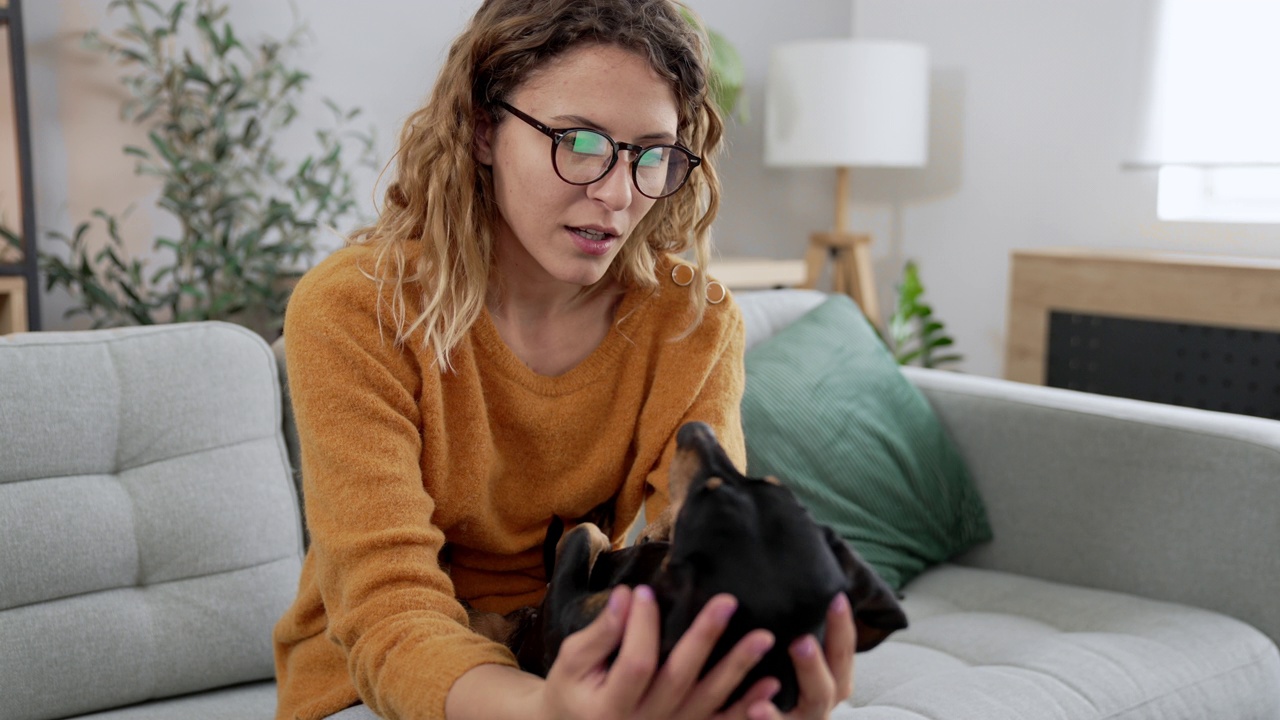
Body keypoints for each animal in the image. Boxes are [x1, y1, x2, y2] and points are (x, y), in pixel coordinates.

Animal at [473, 420, 911, 707]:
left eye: (710, 491)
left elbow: (583, 536)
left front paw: (606, 534)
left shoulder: (567, 615)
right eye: (771, 483)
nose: (698, 428)